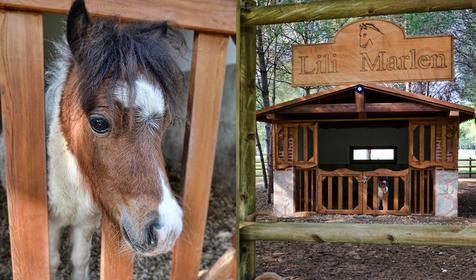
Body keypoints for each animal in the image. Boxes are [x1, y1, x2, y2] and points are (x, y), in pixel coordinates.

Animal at [0, 1, 185, 278]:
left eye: (167, 123)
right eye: (99, 123)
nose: (166, 231)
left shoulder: (86, 221)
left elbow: (80, 259)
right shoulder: (51, 221)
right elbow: (52, 262)